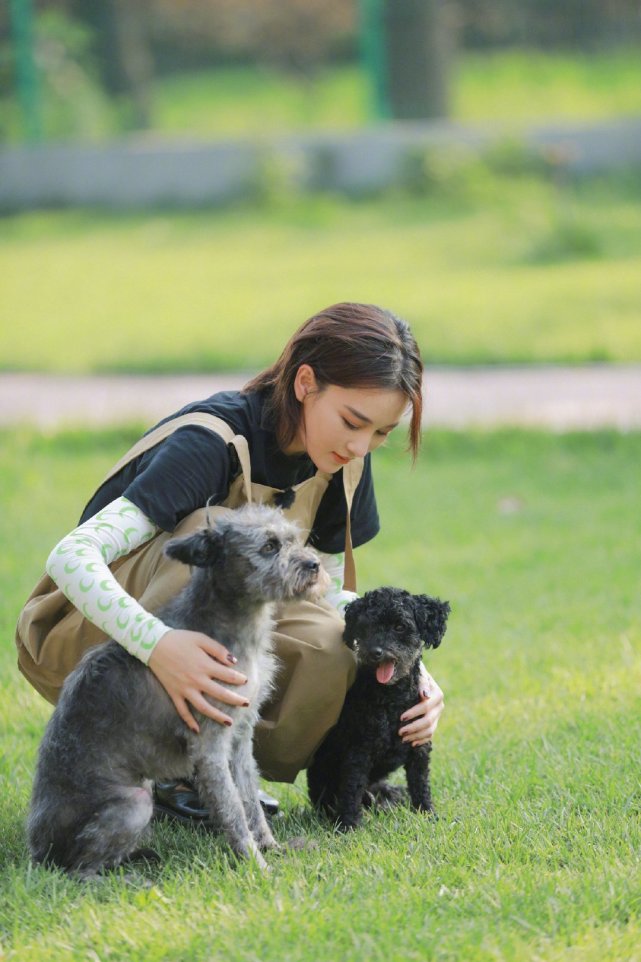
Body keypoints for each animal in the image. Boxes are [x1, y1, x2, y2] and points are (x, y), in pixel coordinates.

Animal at [27, 506, 324, 872]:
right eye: (269, 546)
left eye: (294, 539)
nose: (314, 565)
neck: (228, 622)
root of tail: (39, 851)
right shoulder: (211, 747)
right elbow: (233, 809)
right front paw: (256, 866)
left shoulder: (240, 739)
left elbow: (250, 800)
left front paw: (271, 847)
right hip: (136, 802)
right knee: (79, 870)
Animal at [306, 580, 448, 828]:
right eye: (365, 626)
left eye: (400, 626)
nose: (375, 652)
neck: (391, 699)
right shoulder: (359, 751)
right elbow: (351, 789)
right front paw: (349, 825)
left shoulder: (419, 747)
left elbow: (420, 784)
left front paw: (428, 815)